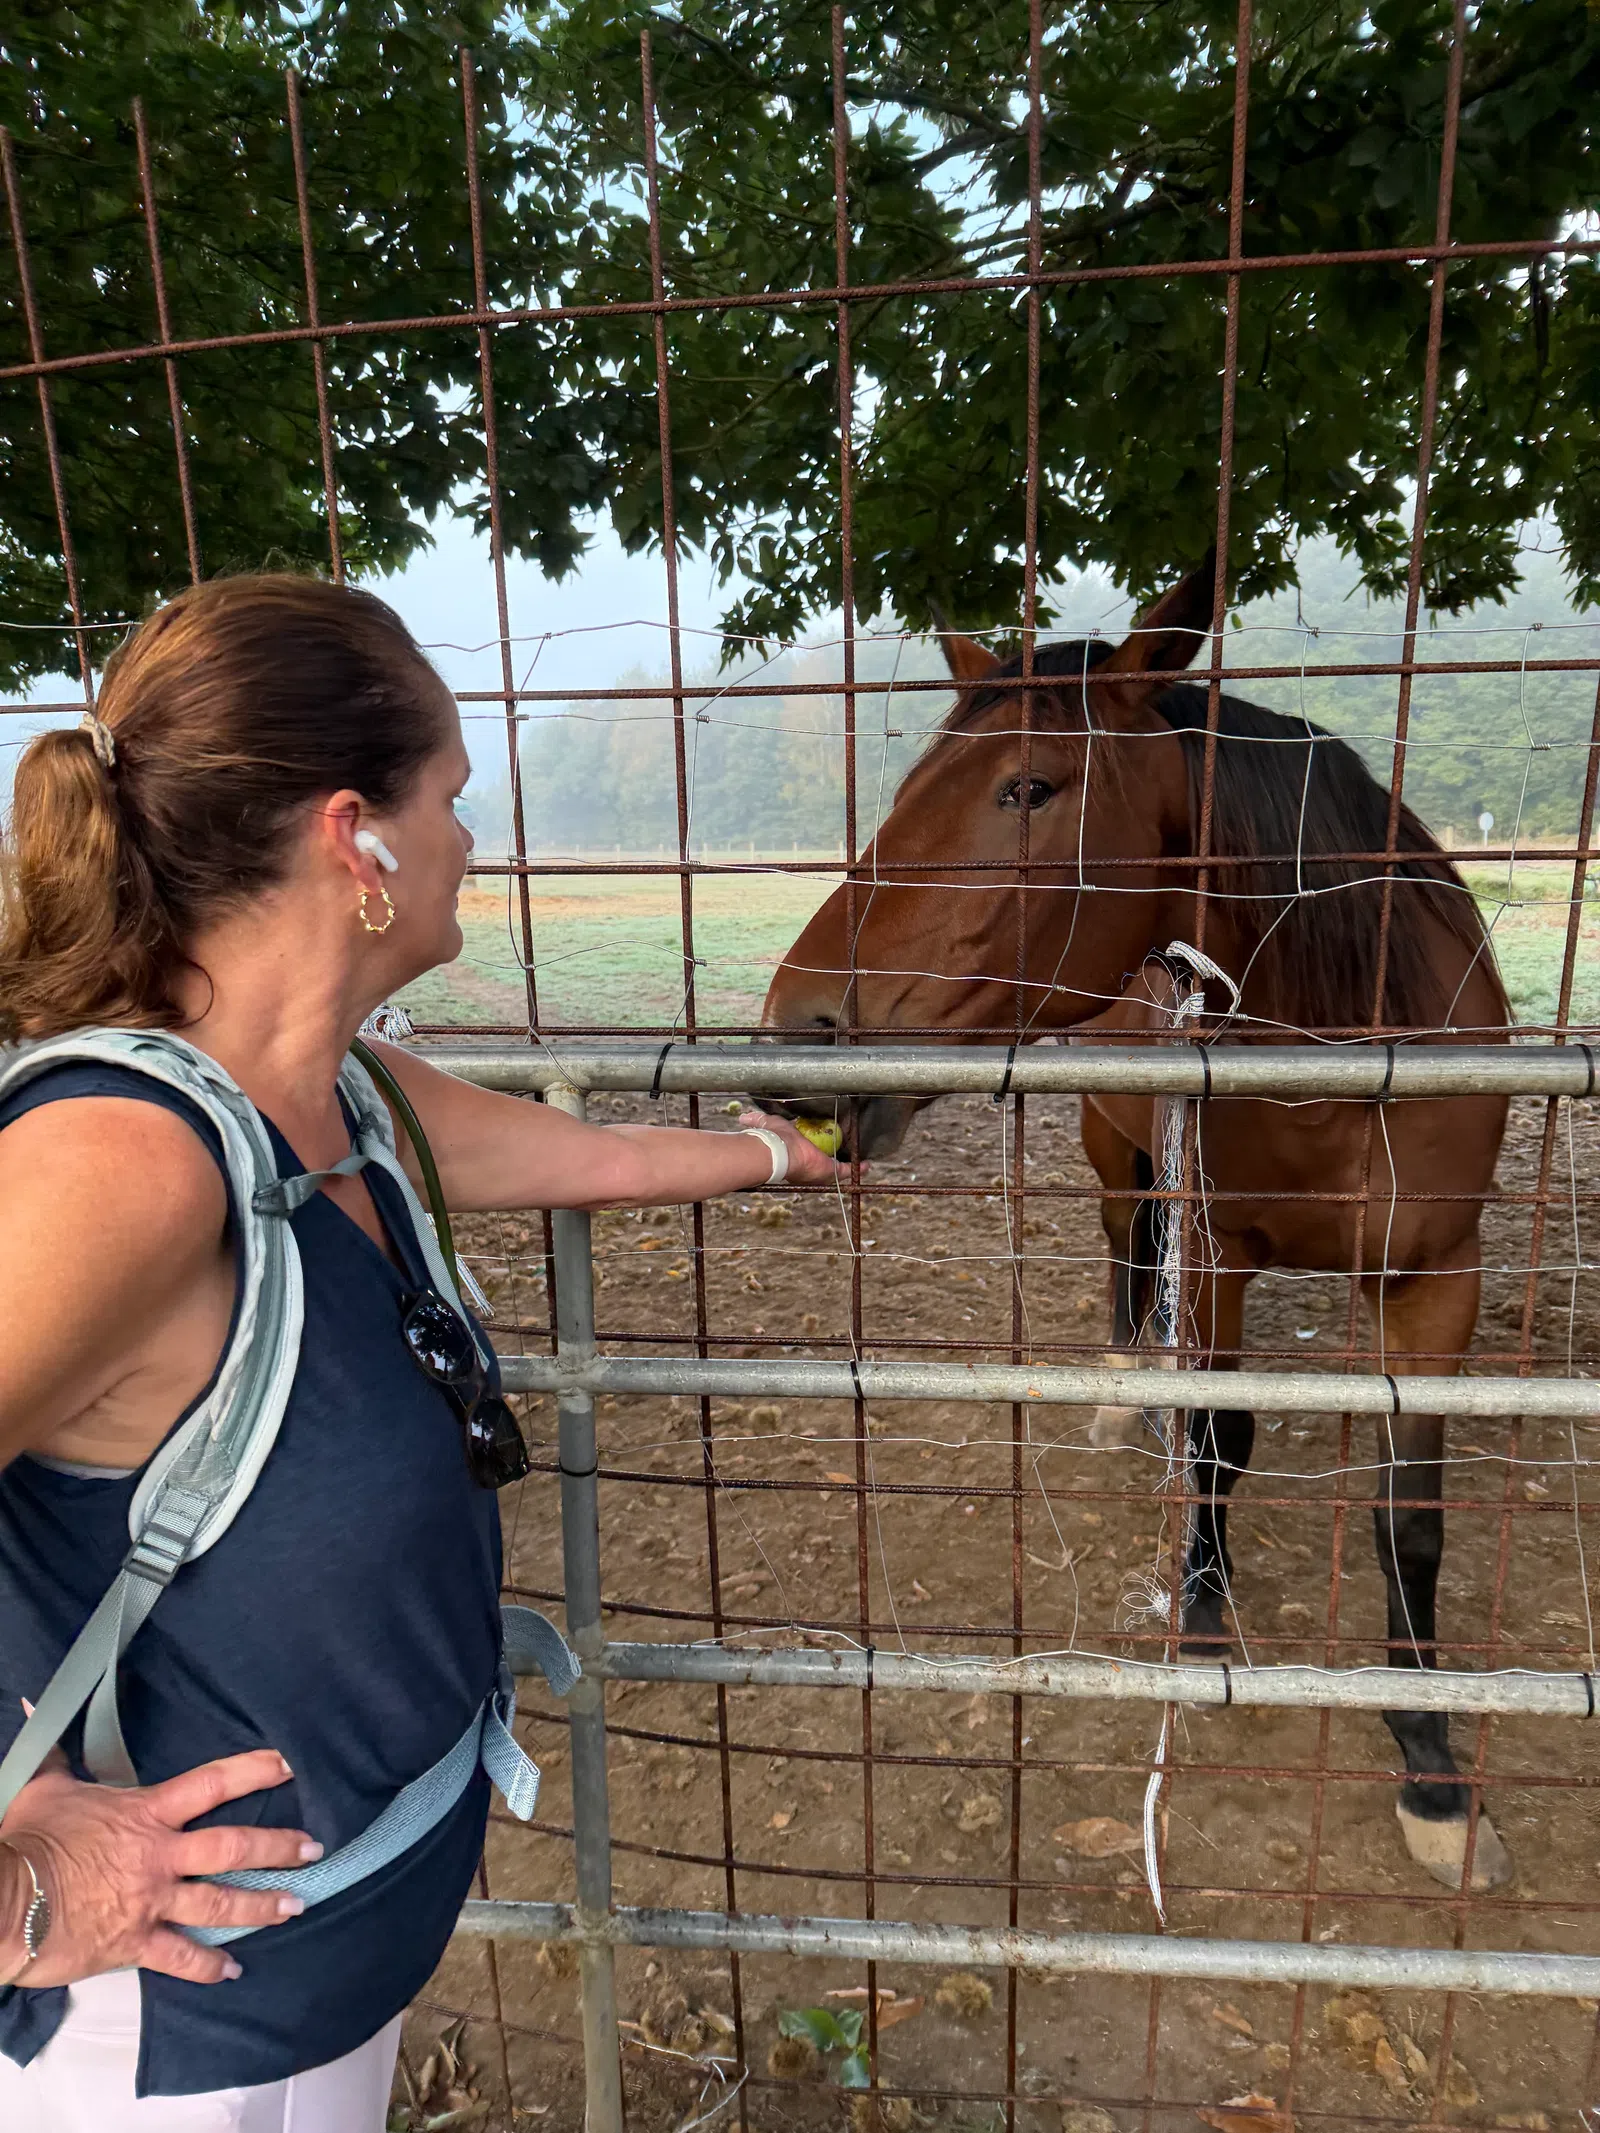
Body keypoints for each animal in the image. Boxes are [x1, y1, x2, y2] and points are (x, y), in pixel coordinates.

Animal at [758, 563, 1514, 1890]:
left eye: (1029, 787)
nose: (796, 1037)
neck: (1349, 1040)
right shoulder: (1218, 1256)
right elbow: (1221, 1437)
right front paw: (1202, 1616)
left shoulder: (1437, 1281)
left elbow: (1408, 1523)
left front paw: (1432, 1768)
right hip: (1120, 1157)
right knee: (1128, 1249)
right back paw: (1123, 1386)